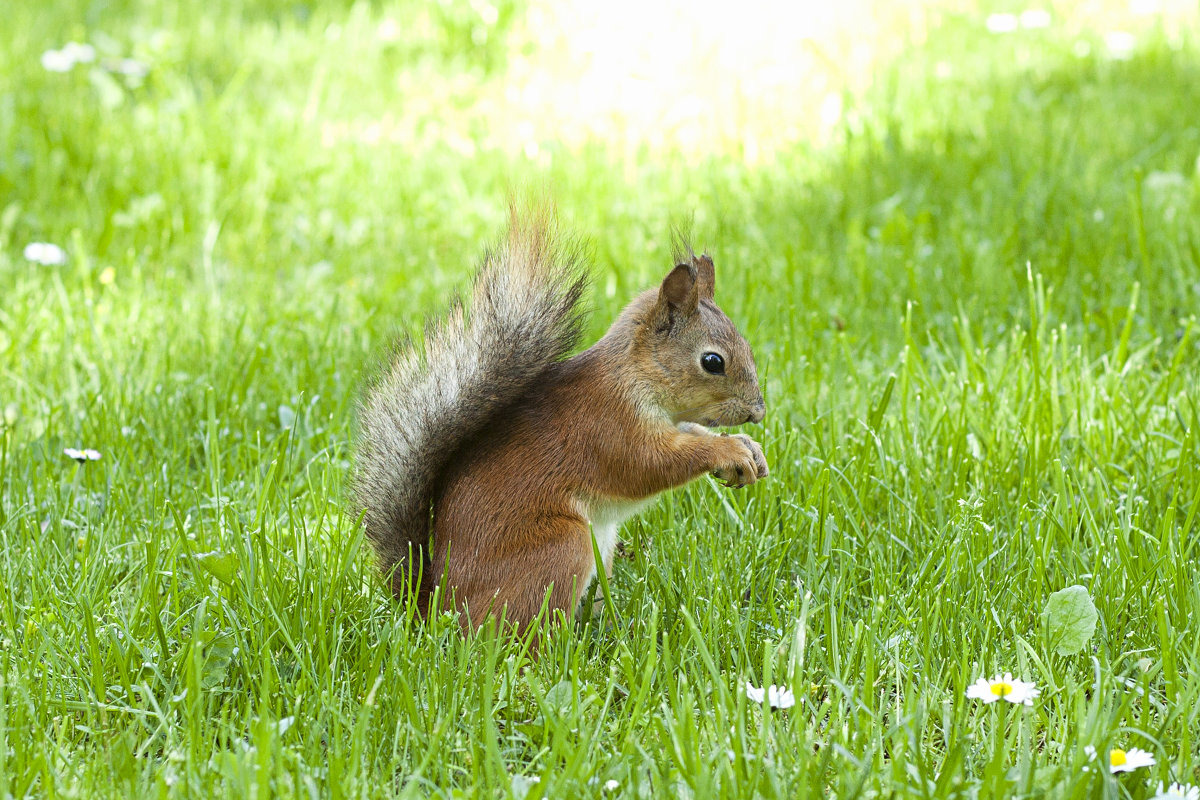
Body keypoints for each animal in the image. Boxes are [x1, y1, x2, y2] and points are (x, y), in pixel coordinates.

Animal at [352, 206, 768, 633]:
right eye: (712, 361)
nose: (758, 411)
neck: (634, 375)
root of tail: (438, 612)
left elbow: (690, 431)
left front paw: (748, 450)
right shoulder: (608, 425)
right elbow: (650, 465)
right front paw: (727, 451)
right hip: (559, 547)